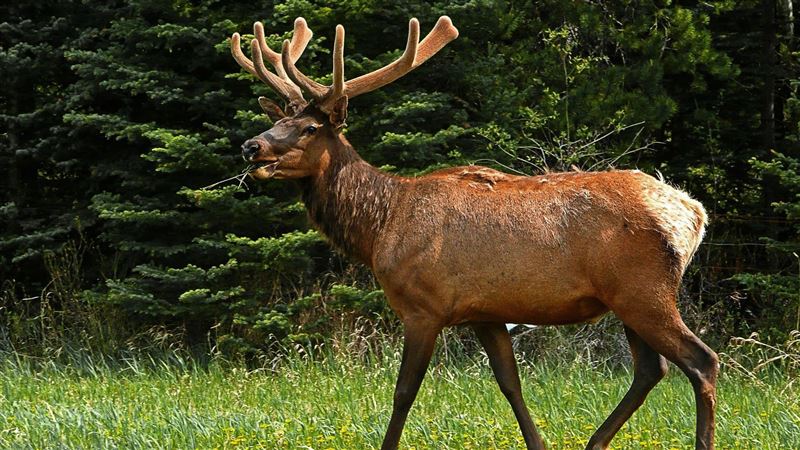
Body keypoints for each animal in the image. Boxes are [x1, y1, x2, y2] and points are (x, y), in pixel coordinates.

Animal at [229, 15, 718, 450]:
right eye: (277, 121)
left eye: (310, 127)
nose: (251, 146)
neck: (379, 227)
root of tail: (693, 214)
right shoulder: (486, 312)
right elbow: (510, 384)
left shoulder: (424, 307)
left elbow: (404, 392)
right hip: (626, 298)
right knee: (652, 369)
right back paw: (595, 443)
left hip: (643, 290)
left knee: (701, 361)